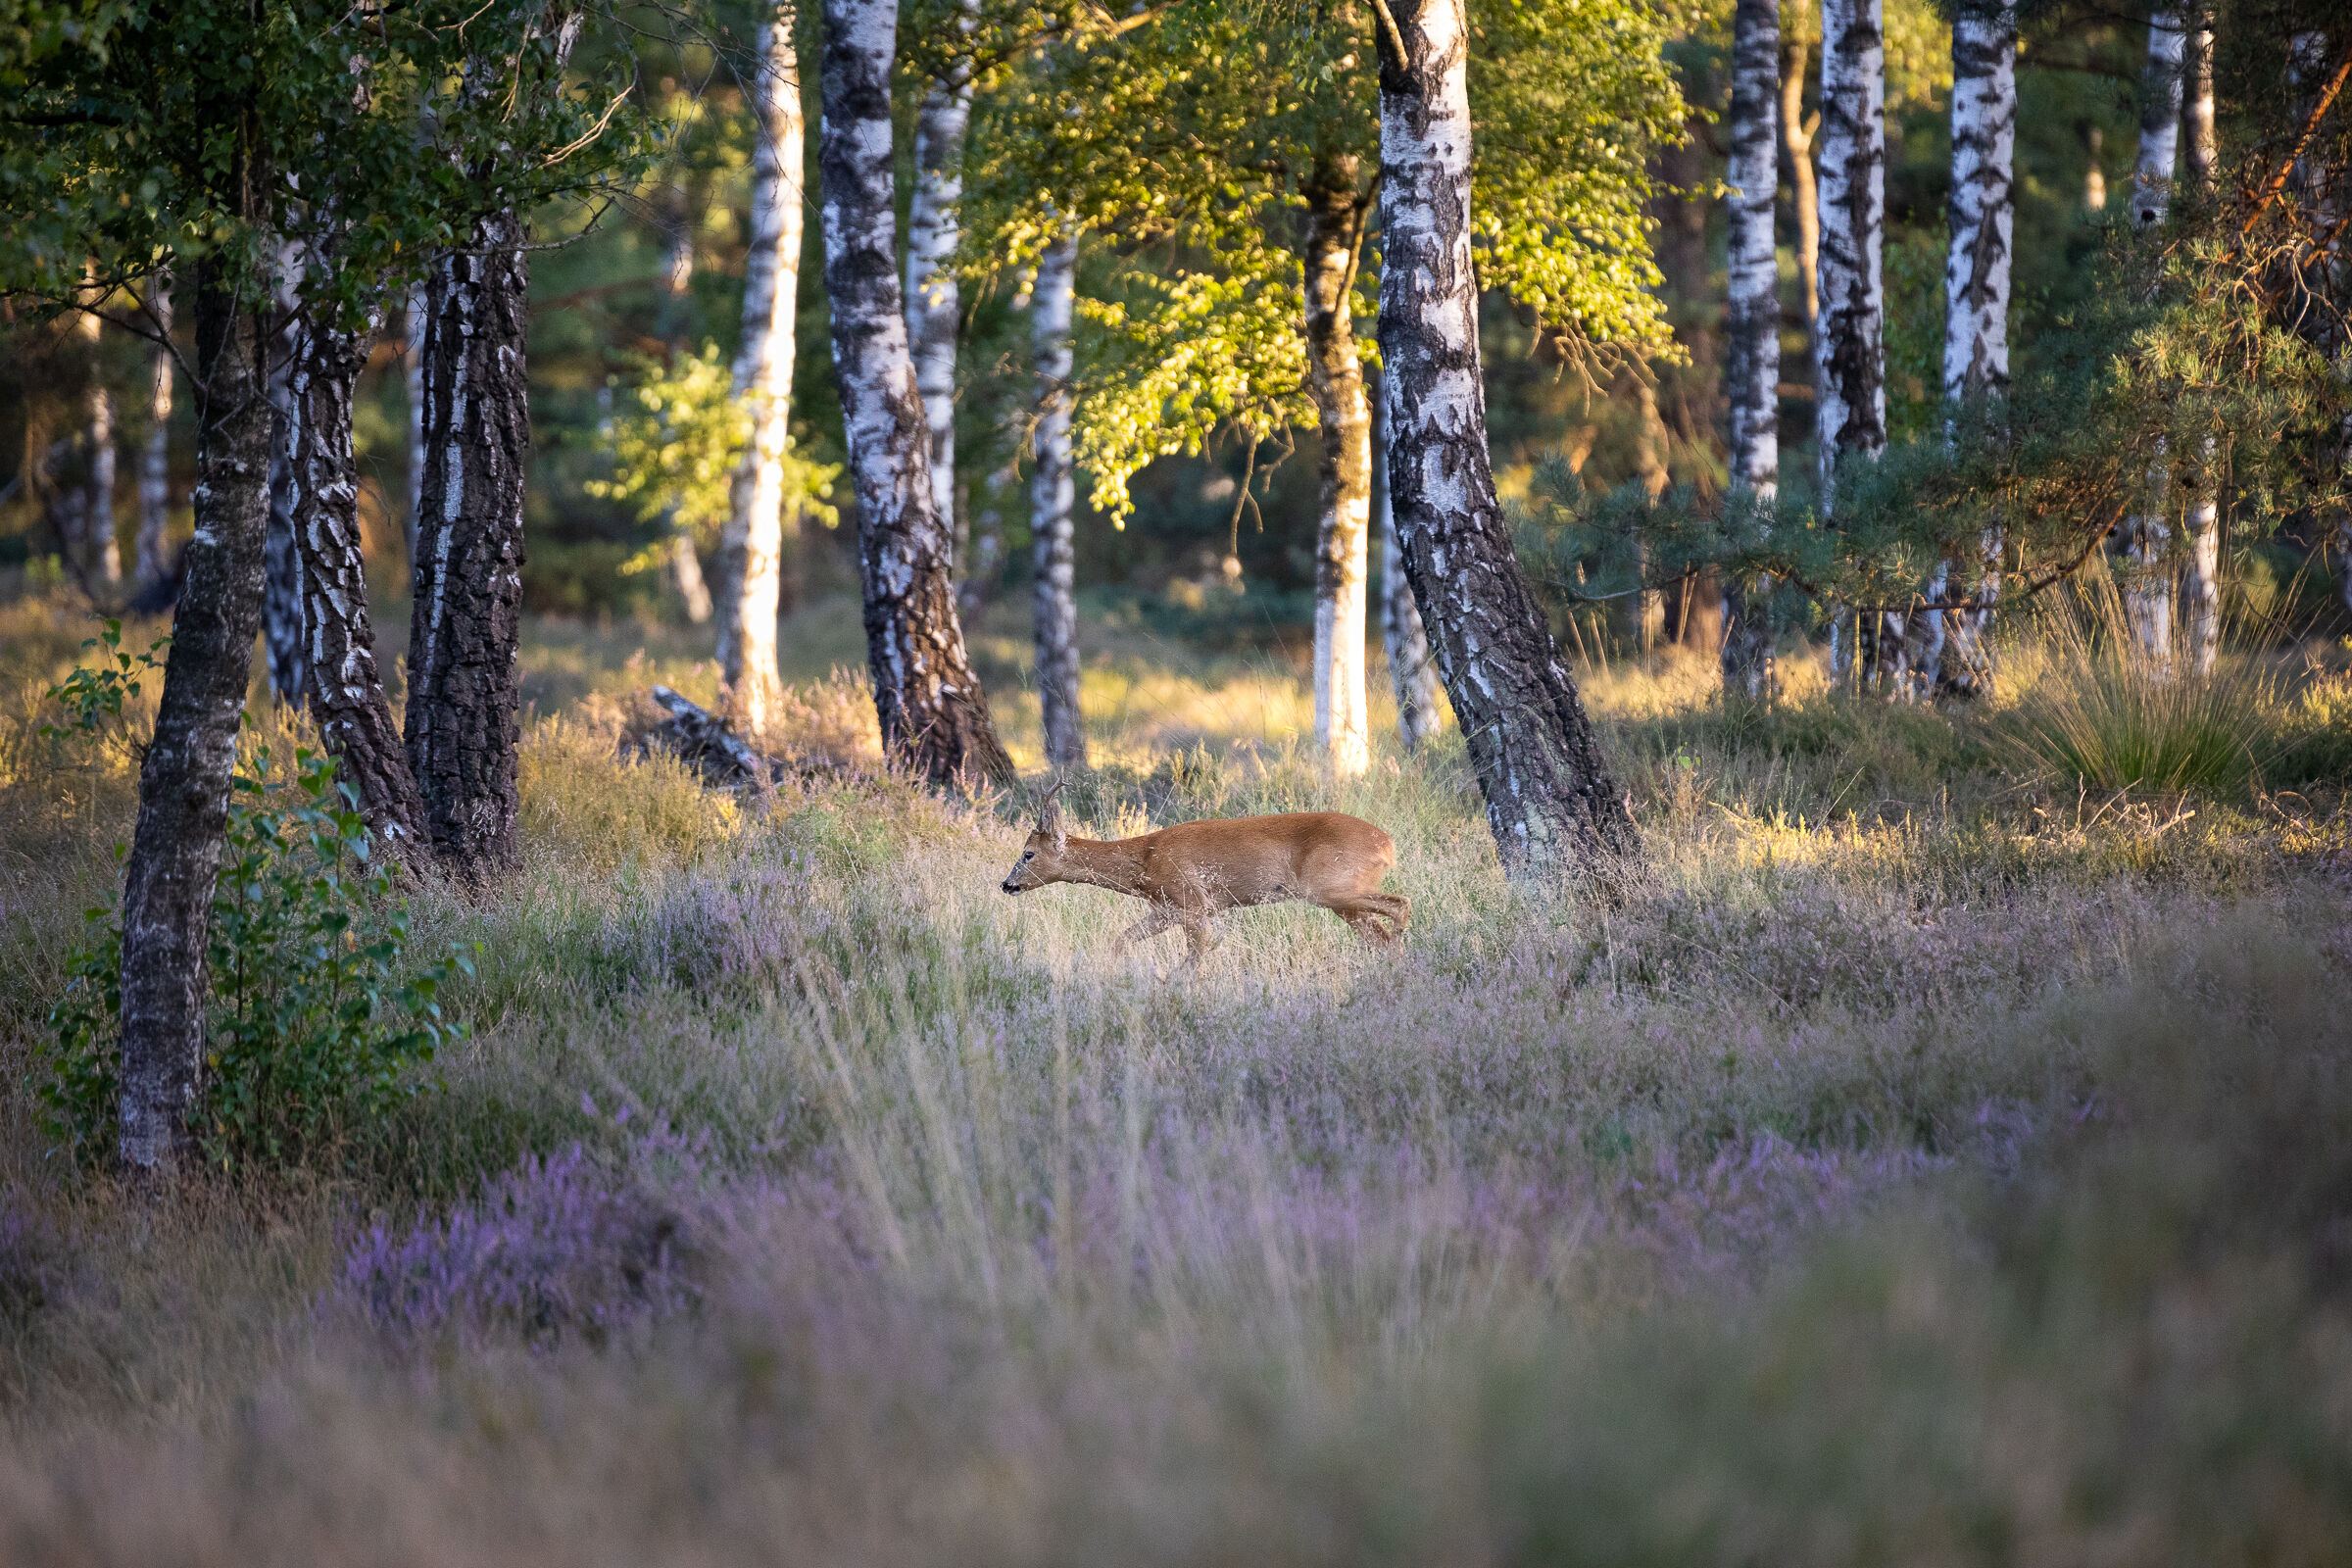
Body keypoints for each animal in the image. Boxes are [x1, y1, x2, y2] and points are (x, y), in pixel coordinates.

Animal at [999, 782, 1410, 968]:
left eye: (1028, 853)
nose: (1006, 884)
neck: (1145, 860)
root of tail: (1387, 844)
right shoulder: (1166, 909)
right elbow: (1120, 940)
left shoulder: (1195, 904)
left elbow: (1194, 960)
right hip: (1342, 900)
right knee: (1379, 933)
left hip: (1328, 888)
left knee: (1400, 904)